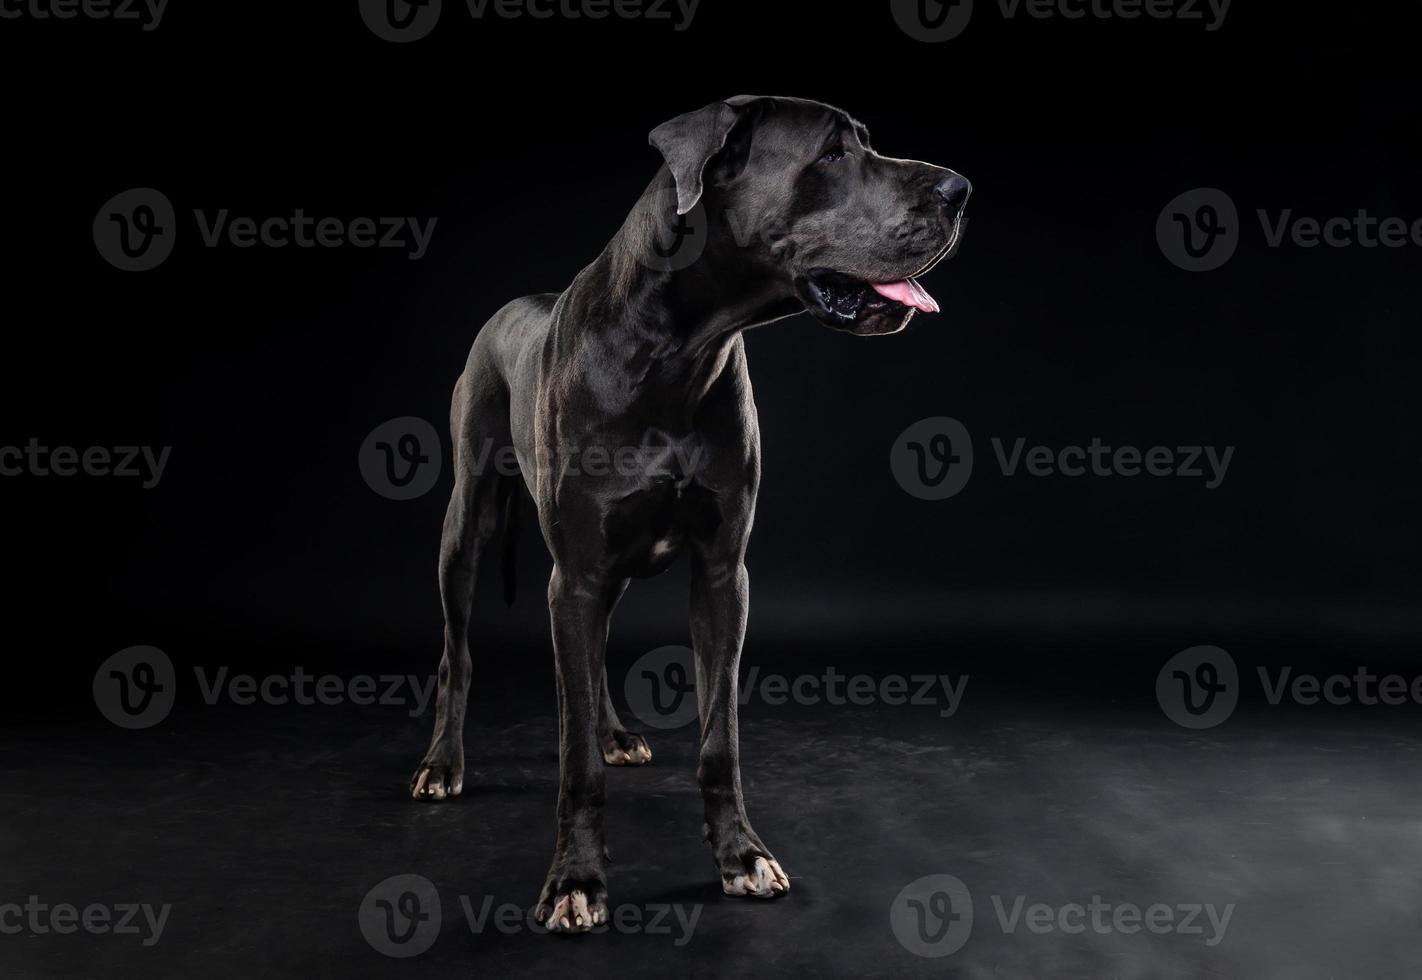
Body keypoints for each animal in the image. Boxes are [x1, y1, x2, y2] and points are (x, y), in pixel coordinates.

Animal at [412, 95, 966, 927]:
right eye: (833, 153)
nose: (960, 190)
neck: (677, 351)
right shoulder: (577, 574)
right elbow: (574, 760)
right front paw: (575, 879)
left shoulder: (720, 571)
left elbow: (718, 740)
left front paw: (741, 854)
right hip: (468, 525)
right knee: (460, 651)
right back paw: (444, 762)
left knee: (588, 667)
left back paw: (612, 731)